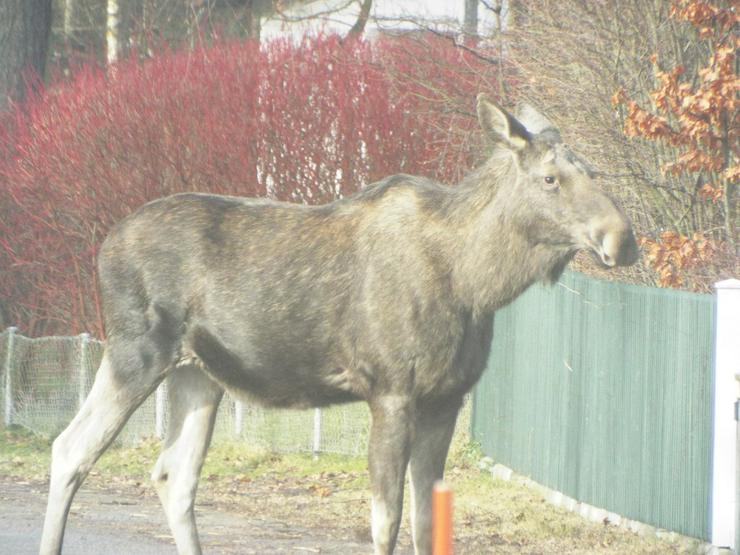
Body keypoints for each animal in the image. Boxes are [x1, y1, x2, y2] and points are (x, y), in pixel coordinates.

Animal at [39, 96, 636, 555]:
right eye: (550, 178)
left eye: (594, 172)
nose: (621, 238)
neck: (473, 283)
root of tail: (102, 247)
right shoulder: (391, 391)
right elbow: (385, 521)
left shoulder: (446, 398)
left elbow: (426, 522)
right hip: (135, 353)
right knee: (70, 449)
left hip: (198, 374)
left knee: (173, 475)